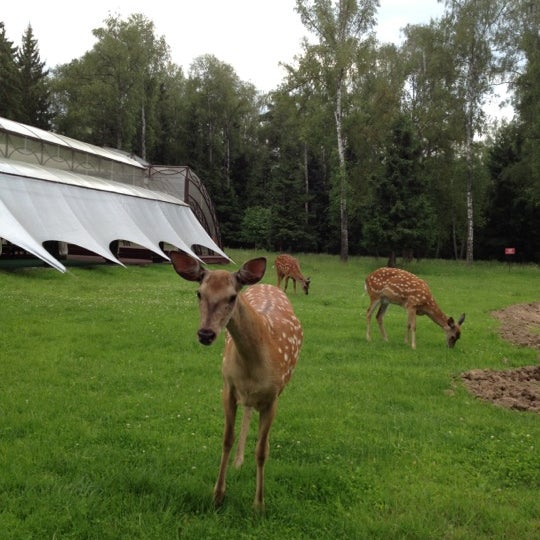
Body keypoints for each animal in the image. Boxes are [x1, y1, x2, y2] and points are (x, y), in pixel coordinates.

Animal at [171, 251, 302, 508]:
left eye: (232, 297)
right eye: (199, 293)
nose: (206, 334)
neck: (254, 363)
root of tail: (267, 284)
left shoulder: (273, 397)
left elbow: (261, 451)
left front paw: (259, 504)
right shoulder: (227, 387)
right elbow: (226, 440)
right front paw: (218, 494)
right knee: (248, 410)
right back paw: (239, 462)